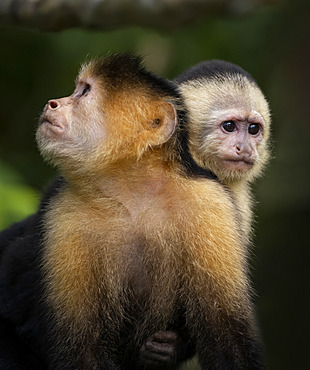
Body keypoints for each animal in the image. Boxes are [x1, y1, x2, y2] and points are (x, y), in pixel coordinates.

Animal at [0, 53, 264, 368]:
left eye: (84, 92)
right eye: (229, 127)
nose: (53, 103)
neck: (133, 192)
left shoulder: (212, 202)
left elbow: (227, 332)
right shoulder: (63, 210)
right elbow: (80, 345)